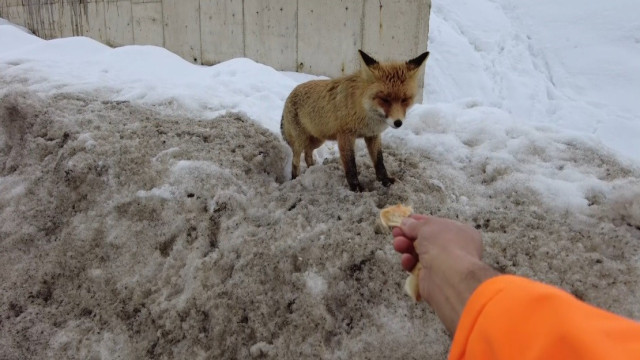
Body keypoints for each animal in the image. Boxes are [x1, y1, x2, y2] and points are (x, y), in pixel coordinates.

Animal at [282, 50, 428, 194]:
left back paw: (312, 170)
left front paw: (385, 181)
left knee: (307, 154)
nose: (398, 123)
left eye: (404, 99)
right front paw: (356, 188)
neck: (364, 111)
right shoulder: (345, 136)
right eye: (385, 99)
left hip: (317, 140)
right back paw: (296, 178)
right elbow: (351, 165)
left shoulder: (373, 135)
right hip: (301, 141)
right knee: (295, 161)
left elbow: (379, 161)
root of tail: (290, 93)